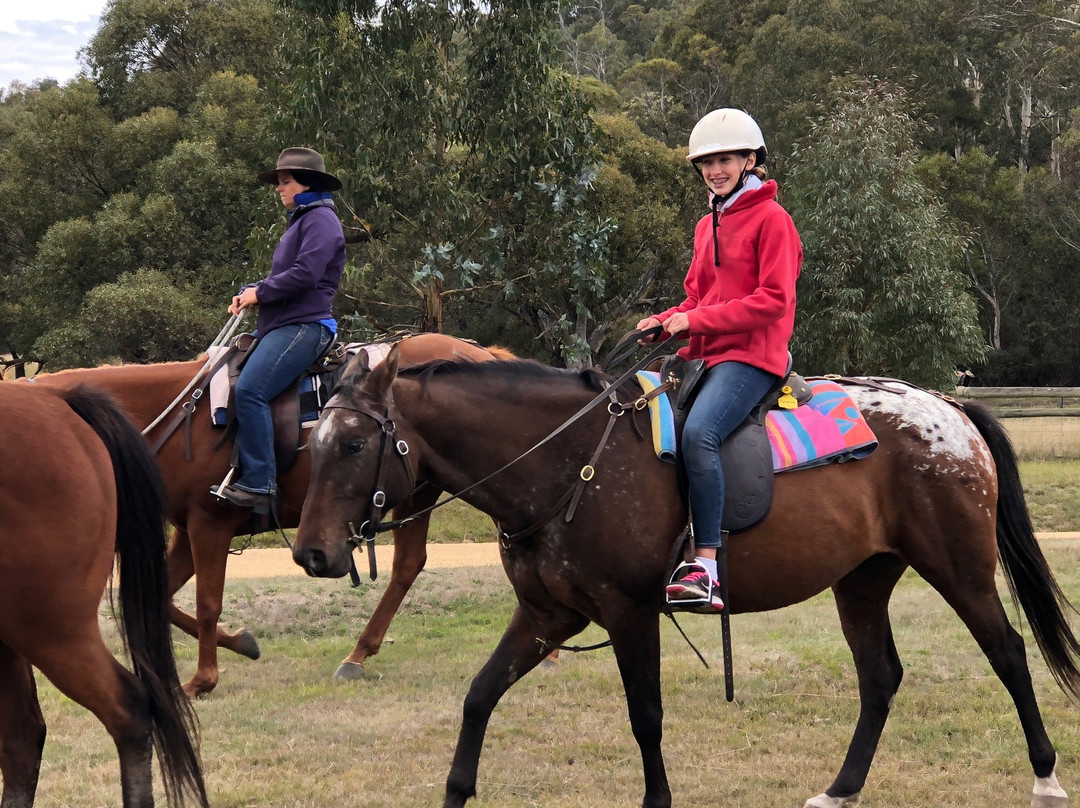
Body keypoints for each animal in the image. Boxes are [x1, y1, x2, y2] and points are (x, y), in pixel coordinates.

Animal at [29, 330, 509, 695]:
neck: (180, 416)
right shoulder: (186, 531)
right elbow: (165, 598)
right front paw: (242, 643)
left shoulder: (210, 526)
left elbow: (207, 602)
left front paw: (203, 679)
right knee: (409, 564)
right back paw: (359, 653)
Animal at [291, 349, 1080, 808]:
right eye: (313, 441)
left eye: (354, 444)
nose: (311, 554)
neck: (570, 461)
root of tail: (949, 410)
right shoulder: (547, 615)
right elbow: (479, 697)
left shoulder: (629, 613)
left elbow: (646, 716)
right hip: (861, 580)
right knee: (881, 676)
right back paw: (840, 789)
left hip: (960, 568)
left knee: (1009, 654)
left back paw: (1045, 776)